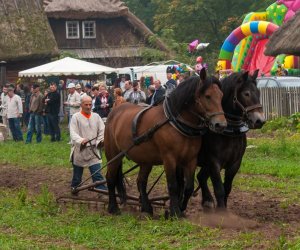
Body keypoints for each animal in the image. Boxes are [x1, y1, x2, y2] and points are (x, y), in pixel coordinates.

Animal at [105, 69, 227, 217]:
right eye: (207, 96)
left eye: (221, 96)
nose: (221, 125)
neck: (175, 122)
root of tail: (114, 112)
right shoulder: (169, 158)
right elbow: (173, 185)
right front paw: (175, 212)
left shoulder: (190, 159)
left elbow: (188, 187)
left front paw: (181, 209)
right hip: (113, 154)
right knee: (110, 178)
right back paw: (113, 207)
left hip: (146, 159)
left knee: (141, 182)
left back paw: (147, 208)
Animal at [197, 70, 264, 209]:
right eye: (246, 93)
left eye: (258, 92)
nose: (260, 120)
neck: (229, 131)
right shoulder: (214, 163)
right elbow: (219, 189)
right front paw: (221, 210)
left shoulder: (235, 163)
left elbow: (227, 187)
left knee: (200, 177)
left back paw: (206, 201)